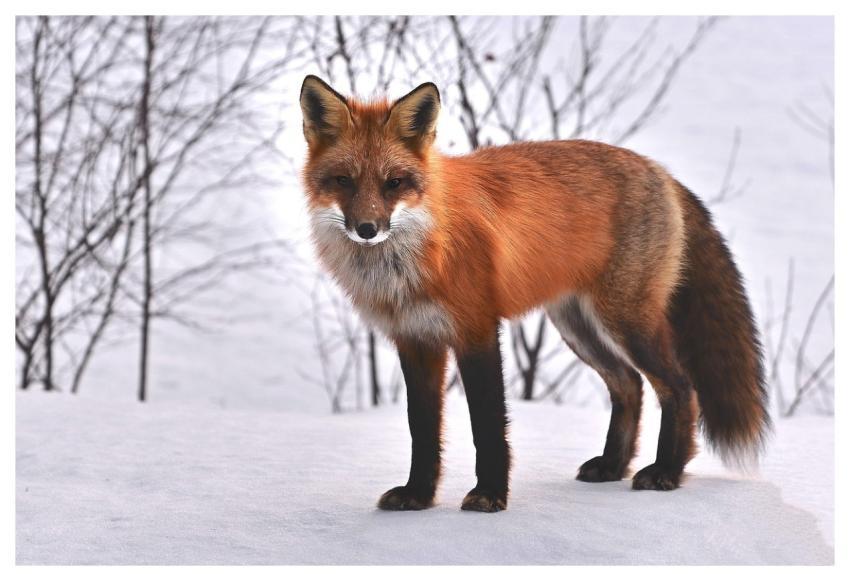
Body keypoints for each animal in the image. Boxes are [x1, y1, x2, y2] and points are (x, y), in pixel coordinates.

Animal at [299, 75, 770, 512]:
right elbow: (423, 430)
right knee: (629, 385)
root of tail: (660, 171)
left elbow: (488, 425)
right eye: (343, 181)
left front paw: (489, 495)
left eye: (394, 183)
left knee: (680, 387)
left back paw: (667, 471)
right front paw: (418, 496)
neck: (417, 254)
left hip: (626, 321)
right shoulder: (415, 340)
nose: (367, 229)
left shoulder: (477, 330)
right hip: (578, 326)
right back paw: (613, 466)